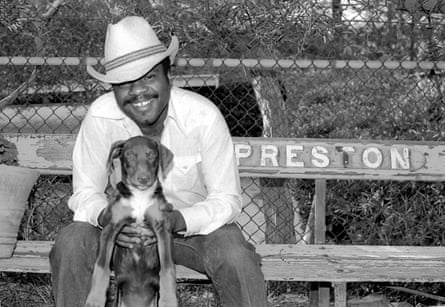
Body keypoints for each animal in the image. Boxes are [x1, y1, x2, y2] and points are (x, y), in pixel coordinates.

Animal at [84, 136, 177, 307]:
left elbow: (167, 267)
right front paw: (94, 299)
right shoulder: (110, 227)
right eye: (129, 155)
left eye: (152, 155)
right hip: (117, 290)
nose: (143, 179)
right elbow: (101, 266)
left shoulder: (163, 229)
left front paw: (169, 301)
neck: (140, 195)